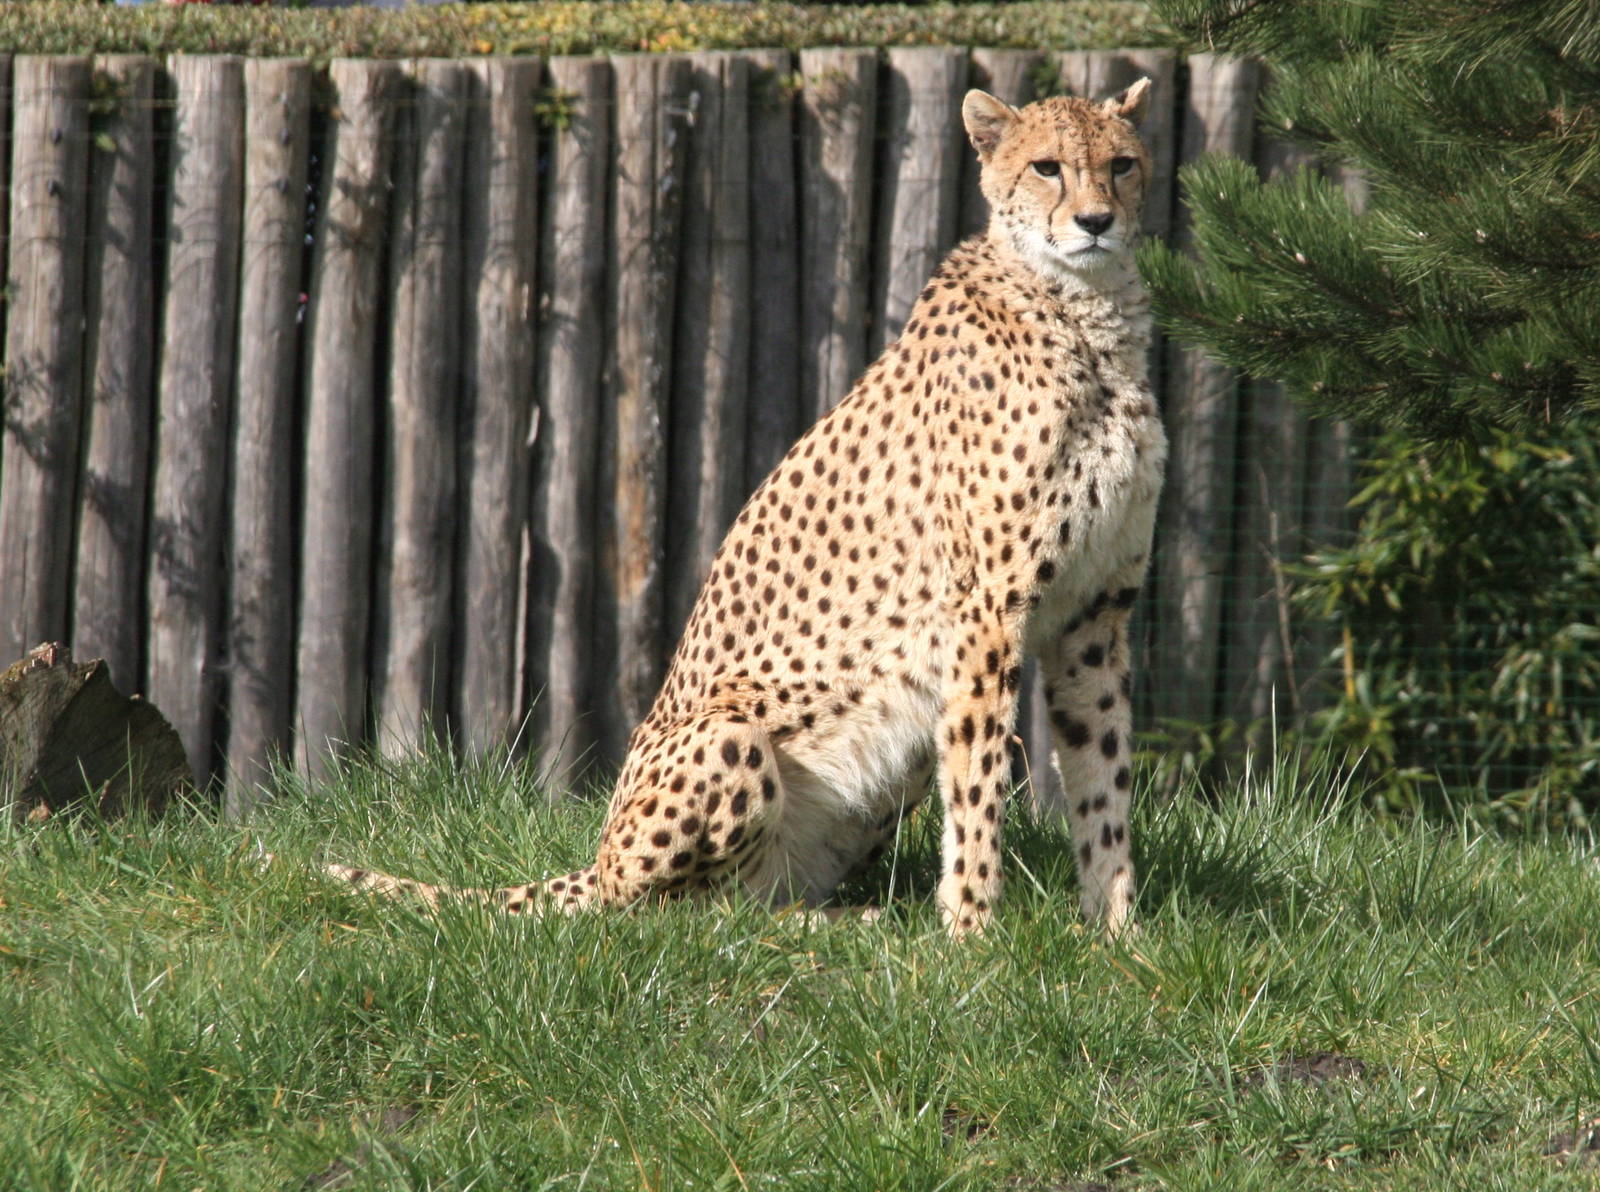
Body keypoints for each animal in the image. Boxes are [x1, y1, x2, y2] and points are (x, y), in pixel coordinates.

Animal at [317, 78, 1167, 938]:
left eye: (1123, 165)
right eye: (1047, 167)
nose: (1096, 221)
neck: (1087, 316)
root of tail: (597, 860)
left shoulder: (1094, 615)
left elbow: (1103, 779)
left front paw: (1118, 933)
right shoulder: (985, 616)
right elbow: (981, 783)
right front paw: (972, 937)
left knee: (751, 902)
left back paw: (843, 922)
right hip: (732, 739)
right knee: (673, 919)